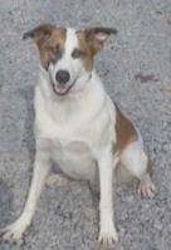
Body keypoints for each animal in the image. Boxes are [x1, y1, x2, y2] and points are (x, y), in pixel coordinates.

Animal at [0, 23, 156, 248]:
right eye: (54, 49)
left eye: (78, 53)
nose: (62, 76)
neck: (65, 107)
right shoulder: (42, 154)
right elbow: (31, 197)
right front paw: (20, 226)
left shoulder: (103, 156)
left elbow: (106, 203)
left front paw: (107, 232)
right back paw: (58, 178)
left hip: (132, 158)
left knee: (146, 169)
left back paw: (146, 185)